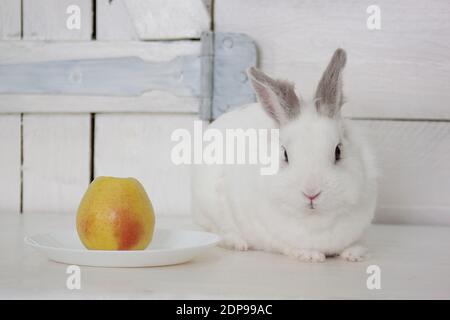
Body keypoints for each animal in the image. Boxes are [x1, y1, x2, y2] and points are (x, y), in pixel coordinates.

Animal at [192, 48, 378, 262]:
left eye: (338, 151)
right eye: (285, 154)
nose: (311, 193)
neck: (316, 222)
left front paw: (353, 254)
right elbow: (288, 247)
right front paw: (311, 255)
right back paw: (237, 243)